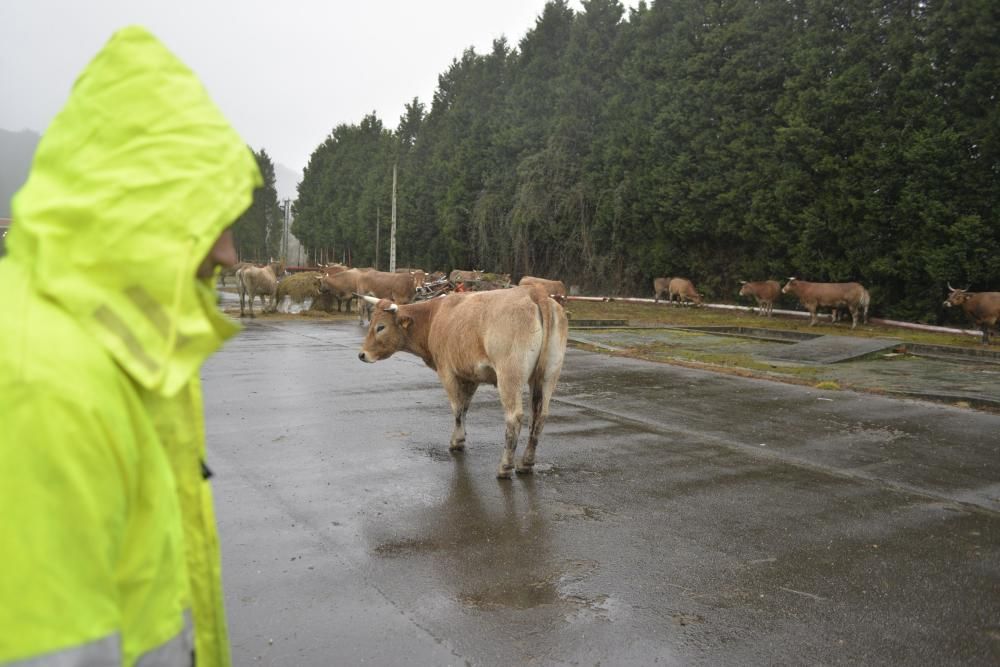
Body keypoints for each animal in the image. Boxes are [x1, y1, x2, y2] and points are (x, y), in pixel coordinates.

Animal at [358, 284, 572, 478]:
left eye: (380, 327)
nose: (362, 354)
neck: (434, 316)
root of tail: (534, 291)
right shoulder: (470, 376)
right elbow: (465, 406)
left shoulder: (447, 371)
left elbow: (457, 408)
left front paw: (457, 442)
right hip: (548, 376)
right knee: (539, 416)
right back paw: (526, 463)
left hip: (509, 376)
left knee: (514, 418)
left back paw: (505, 467)